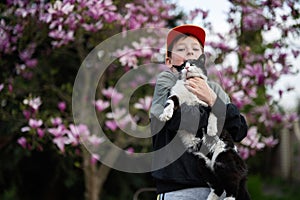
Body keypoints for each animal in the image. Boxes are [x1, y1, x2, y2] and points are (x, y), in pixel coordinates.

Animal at [158, 58, 250, 200]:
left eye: (192, 63)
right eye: (183, 66)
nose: (187, 67)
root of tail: (243, 167)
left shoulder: (206, 102)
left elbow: (212, 112)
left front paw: (211, 130)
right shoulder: (178, 97)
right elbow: (171, 101)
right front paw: (165, 115)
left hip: (223, 160)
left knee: (233, 186)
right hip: (204, 165)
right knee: (219, 187)